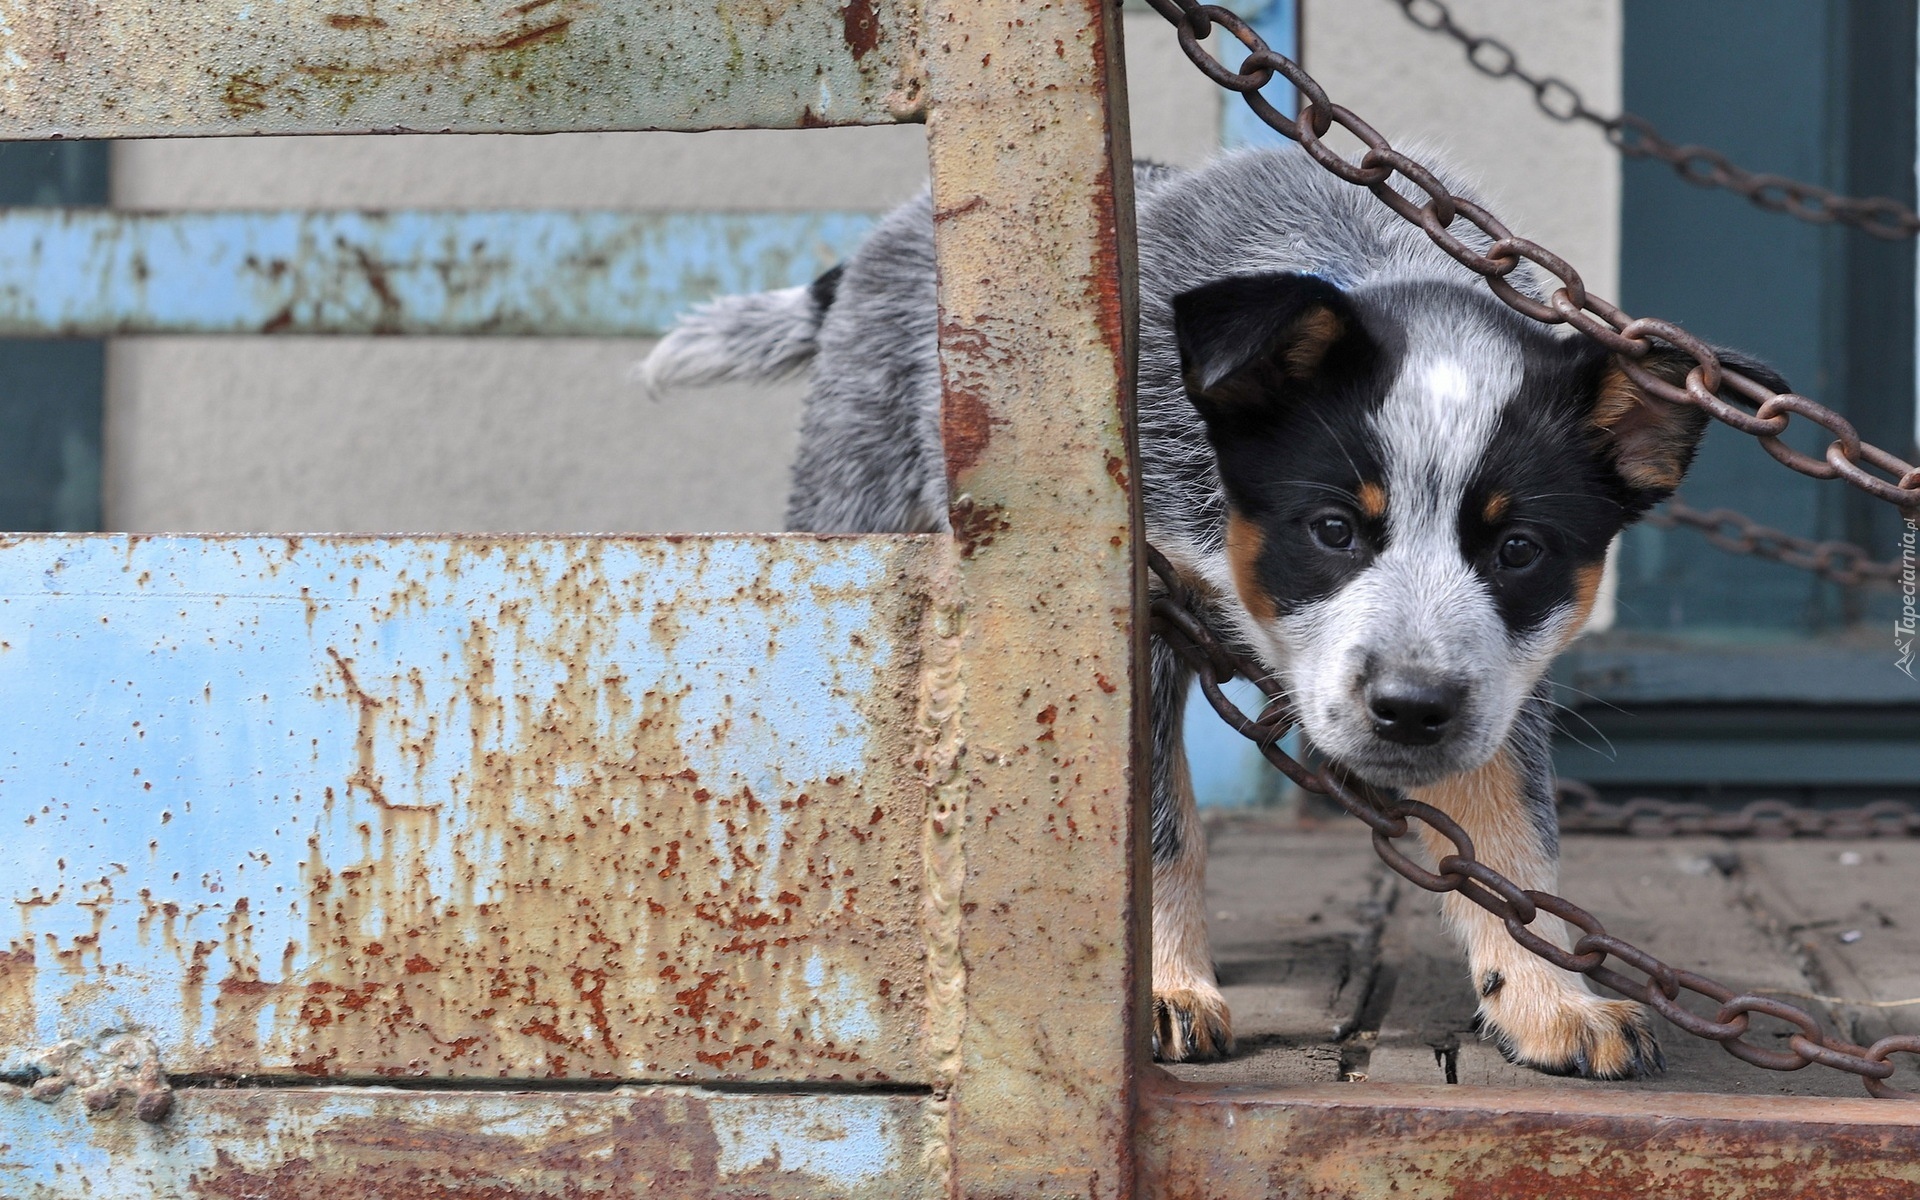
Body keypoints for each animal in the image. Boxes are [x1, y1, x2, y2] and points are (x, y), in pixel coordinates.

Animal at [641, 147, 1781, 1075]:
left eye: (1518, 549)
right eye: (1333, 529)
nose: (1410, 711)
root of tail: (878, 243)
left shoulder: (1502, 676)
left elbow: (1513, 841)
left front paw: (1550, 1001)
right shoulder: (1133, 611)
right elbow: (1154, 832)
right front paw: (1159, 989)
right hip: (861, 514)